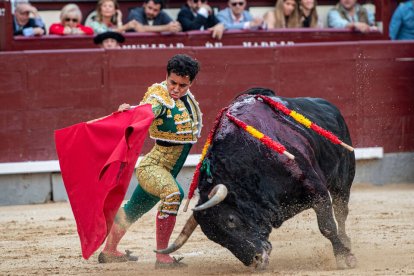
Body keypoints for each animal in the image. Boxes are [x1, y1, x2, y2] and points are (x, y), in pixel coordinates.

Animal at [157, 89, 358, 270]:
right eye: (215, 238)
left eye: (231, 220)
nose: (256, 260)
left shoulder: (317, 190)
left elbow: (327, 226)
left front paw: (344, 257)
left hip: (343, 179)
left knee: (341, 211)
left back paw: (346, 242)